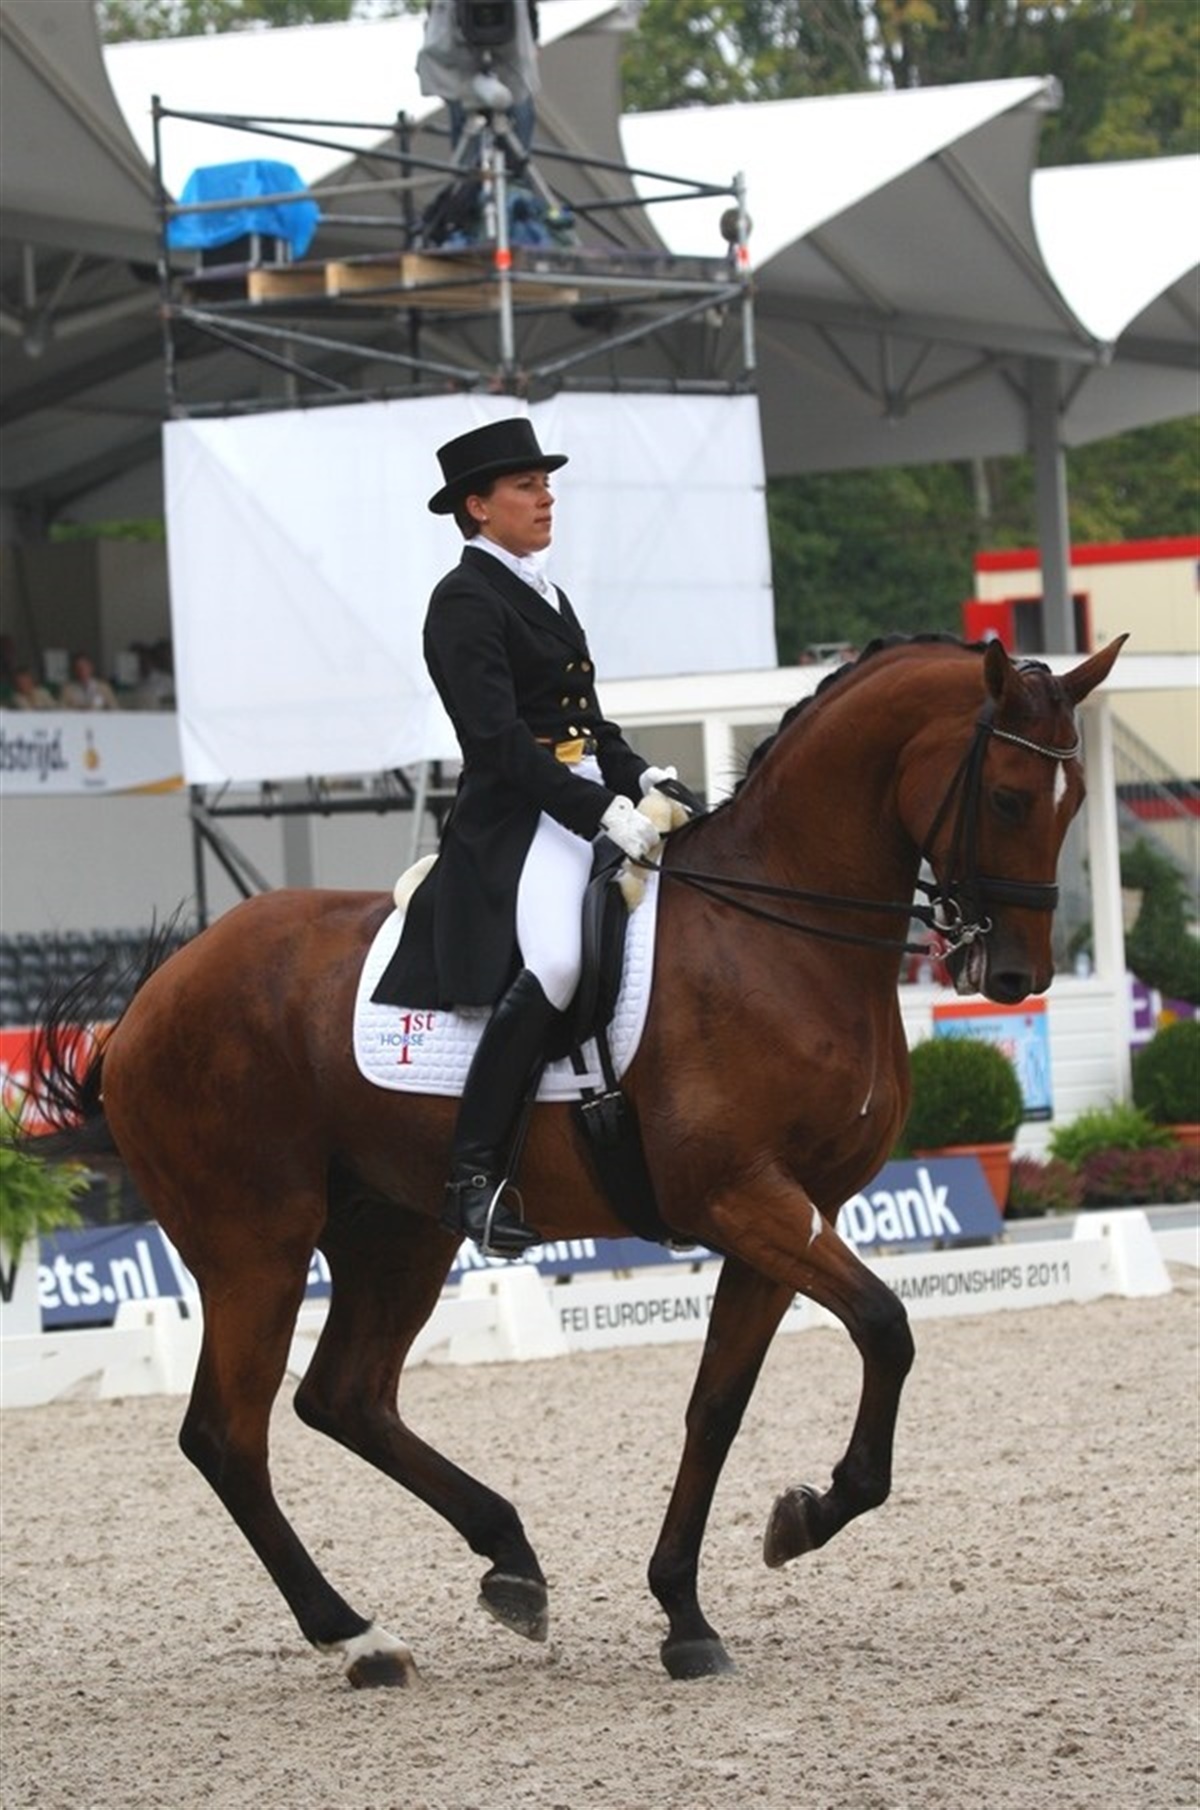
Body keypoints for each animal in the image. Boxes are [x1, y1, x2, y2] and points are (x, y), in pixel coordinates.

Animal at [27, 632, 1123, 1688]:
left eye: (1072, 801)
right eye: (1010, 795)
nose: (1014, 973)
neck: (776, 934)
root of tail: (143, 1007)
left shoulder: (788, 1210)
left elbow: (717, 1405)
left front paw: (686, 1613)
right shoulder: (741, 1196)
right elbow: (887, 1328)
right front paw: (810, 1514)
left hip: (397, 1232)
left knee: (343, 1394)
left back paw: (508, 1558)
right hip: (254, 1243)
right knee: (228, 1433)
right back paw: (358, 1635)